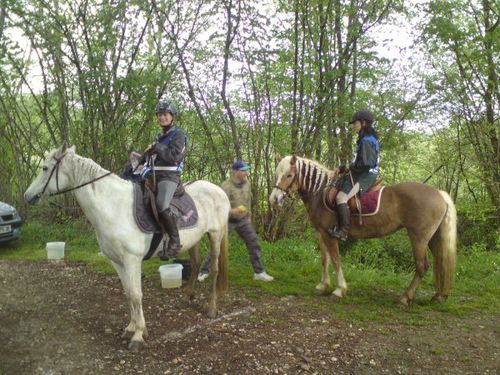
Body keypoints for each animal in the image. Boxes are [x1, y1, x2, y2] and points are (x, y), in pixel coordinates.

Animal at [24, 145, 231, 352]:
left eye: (45, 168)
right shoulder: (117, 261)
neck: (114, 206)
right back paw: (187, 297)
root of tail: (219, 190)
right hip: (194, 240)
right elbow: (128, 293)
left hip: (215, 235)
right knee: (195, 264)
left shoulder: (132, 260)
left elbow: (136, 294)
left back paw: (212, 308)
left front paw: (138, 336)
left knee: (214, 269)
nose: (27, 196)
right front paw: (132, 328)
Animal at [270, 156, 458, 306]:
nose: (273, 199)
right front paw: (323, 285)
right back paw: (439, 295)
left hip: (418, 238)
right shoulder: (322, 233)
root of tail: (439, 194)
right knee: (440, 262)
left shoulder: (330, 235)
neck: (320, 192)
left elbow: (336, 260)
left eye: (289, 175)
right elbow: (325, 260)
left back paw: (405, 298)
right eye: (277, 174)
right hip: (432, 239)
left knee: (422, 266)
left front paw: (340, 289)